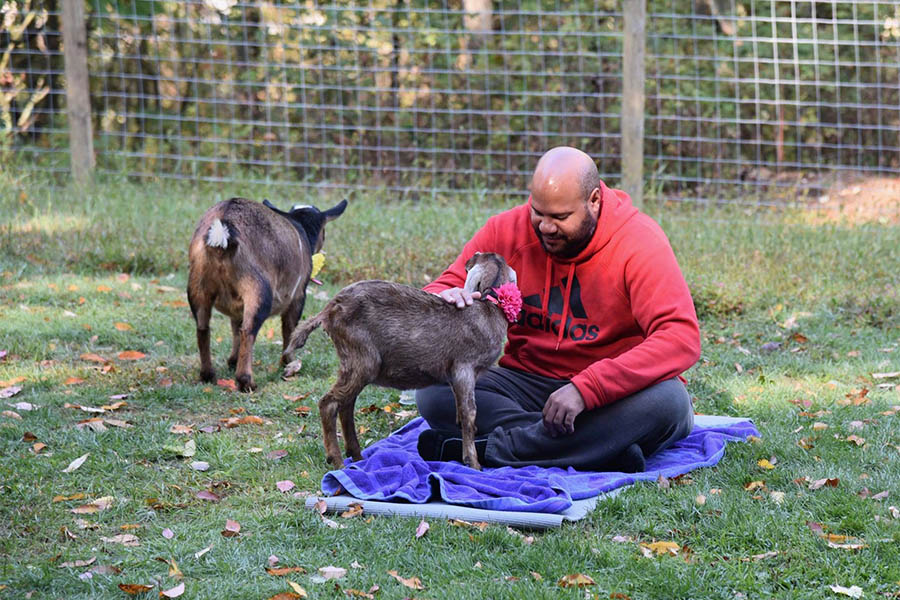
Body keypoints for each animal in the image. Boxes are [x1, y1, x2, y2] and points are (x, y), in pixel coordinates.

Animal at [188, 197, 346, 394]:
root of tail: (223, 228)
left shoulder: (236, 306)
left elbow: (235, 326)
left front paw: (232, 361)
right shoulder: (297, 296)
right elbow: (289, 328)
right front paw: (288, 363)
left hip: (197, 283)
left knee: (203, 327)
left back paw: (207, 375)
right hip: (258, 289)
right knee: (248, 330)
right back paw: (246, 382)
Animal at [282, 251, 520, 472]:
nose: (473, 256)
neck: (488, 309)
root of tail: (328, 310)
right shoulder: (464, 368)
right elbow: (469, 414)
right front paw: (474, 464)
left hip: (353, 361)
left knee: (346, 405)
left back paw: (357, 457)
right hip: (361, 357)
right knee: (329, 403)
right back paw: (338, 461)